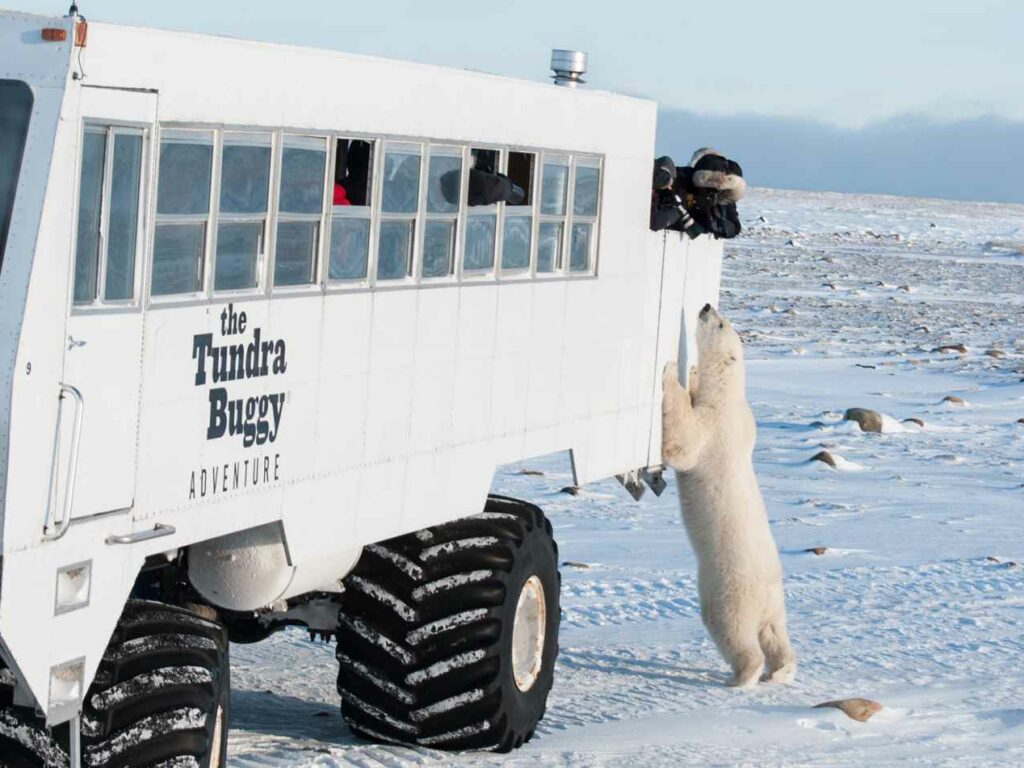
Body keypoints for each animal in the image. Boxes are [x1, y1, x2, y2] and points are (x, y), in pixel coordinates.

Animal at [659, 303, 794, 688]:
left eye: (720, 324)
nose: (706, 306)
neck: (729, 395)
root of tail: (765, 594)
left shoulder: (715, 426)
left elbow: (684, 442)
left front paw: (671, 373)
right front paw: (690, 373)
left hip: (728, 590)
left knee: (733, 632)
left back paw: (741, 677)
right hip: (775, 602)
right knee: (776, 633)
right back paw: (781, 671)